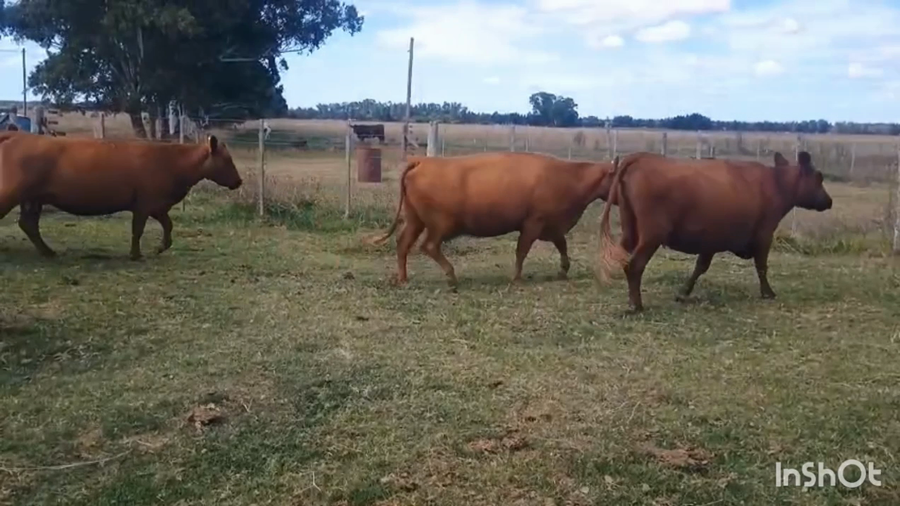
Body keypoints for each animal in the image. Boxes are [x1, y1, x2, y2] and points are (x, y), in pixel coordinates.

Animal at [0, 133, 242, 260]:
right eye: (227, 160)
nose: (239, 181)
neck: (171, 160)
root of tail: (18, 135)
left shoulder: (156, 205)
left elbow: (168, 225)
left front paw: (161, 247)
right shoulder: (144, 205)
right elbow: (138, 230)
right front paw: (136, 254)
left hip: (33, 199)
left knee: (28, 224)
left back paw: (48, 252)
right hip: (11, 194)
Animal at [367, 152, 616, 286]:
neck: (569, 177)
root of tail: (423, 161)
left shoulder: (552, 227)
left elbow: (562, 246)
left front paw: (563, 270)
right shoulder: (533, 223)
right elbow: (522, 250)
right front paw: (516, 278)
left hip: (415, 220)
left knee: (403, 245)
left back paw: (403, 278)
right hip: (441, 225)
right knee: (428, 246)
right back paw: (451, 276)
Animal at [597, 151, 833, 312]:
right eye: (819, 177)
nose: (829, 201)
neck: (775, 183)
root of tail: (643, 157)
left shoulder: (709, 239)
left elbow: (700, 267)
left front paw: (683, 293)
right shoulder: (764, 234)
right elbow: (761, 267)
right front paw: (768, 293)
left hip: (630, 230)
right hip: (652, 235)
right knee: (635, 265)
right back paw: (636, 306)